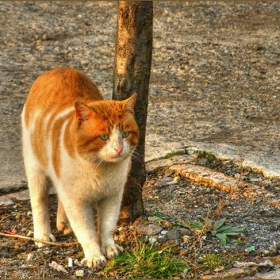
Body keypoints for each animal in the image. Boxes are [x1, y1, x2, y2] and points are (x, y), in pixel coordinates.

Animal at [21, 67, 139, 266]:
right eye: (103, 137)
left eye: (125, 134)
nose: (119, 148)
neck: (100, 170)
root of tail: (59, 68)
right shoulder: (76, 202)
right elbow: (86, 231)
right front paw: (94, 256)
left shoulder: (112, 197)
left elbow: (107, 225)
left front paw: (109, 247)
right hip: (35, 169)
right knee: (39, 202)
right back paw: (42, 236)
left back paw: (63, 223)